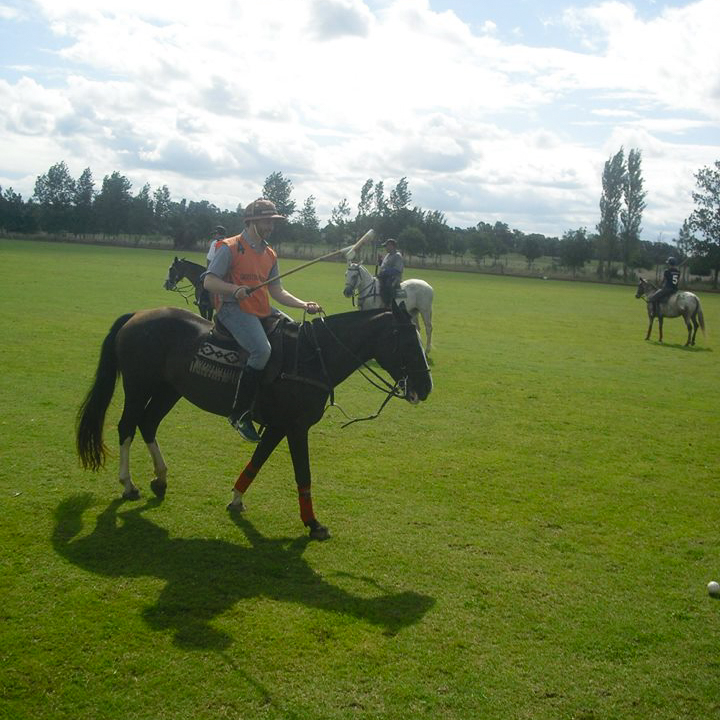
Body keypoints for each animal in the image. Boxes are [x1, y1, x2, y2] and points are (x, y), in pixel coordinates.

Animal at [76, 300, 430, 536]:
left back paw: (160, 479)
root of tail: (135, 315)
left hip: (169, 389)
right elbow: (303, 474)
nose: (426, 387)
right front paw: (313, 524)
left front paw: (236, 499)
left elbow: (256, 462)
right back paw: (128, 485)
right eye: (409, 342)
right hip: (139, 385)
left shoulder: (277, 426)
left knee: (148, 423)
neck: (314, 357)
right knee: (127, 426)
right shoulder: (296, 427)